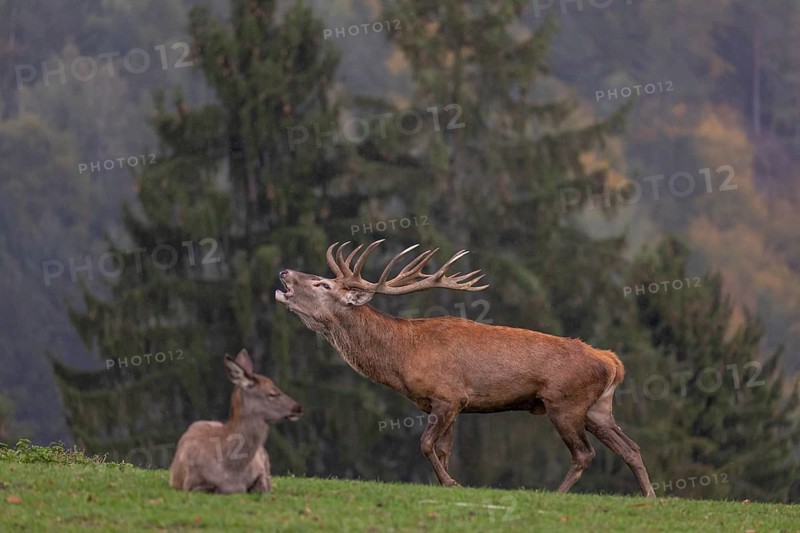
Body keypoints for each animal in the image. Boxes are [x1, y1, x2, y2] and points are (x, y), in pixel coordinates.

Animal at [169, 349, 303, 493]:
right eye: (272, 394)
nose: (298, 407)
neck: (232, 469)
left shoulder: (261, 471)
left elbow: (263, 486)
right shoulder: (190, 483)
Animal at [275, 239, 655, 497]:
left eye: (322, 283)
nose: (284, 272)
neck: (402, 357)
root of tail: (611, 361)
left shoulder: (449, 396)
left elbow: (425, 444)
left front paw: (452, 482)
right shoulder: (451, 405)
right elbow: (443, 449)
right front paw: (446, 483)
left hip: (565, 403)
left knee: (584, 454)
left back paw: (556, 495)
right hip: (597, 408)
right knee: (631, 447)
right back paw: (650, 497)